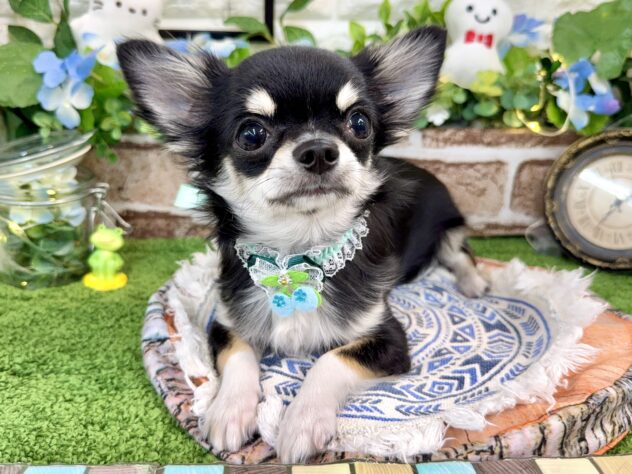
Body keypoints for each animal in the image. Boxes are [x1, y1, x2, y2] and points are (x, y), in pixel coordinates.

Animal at [117, 26, 488, 463]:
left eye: (359, 123)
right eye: (251, 134)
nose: (318, 150)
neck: (295, 254)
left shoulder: (388, 339)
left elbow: (331, 359)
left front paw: (302, 423)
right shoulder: (227, 323)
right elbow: (239, 356)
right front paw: (229, 410)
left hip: (449, 225)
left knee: (461, 253)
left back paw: (475, 283)